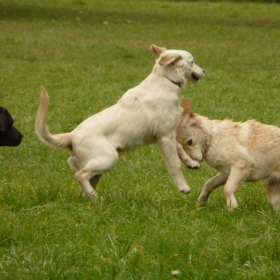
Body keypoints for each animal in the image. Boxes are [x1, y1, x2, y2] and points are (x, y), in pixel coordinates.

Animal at [36, 45, 205, 197]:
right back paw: (95, 196)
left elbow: (180, 149)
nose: (204, 71)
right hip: (109, 158)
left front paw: (191, 163)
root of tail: (71, 136)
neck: (166, 80)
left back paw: (92, 198)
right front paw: (183, 187)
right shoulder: (164, 137)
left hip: (100, 166)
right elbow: (175, 165)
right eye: (192, 61)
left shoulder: (167, 135)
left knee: (85, 184)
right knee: (81, 175)